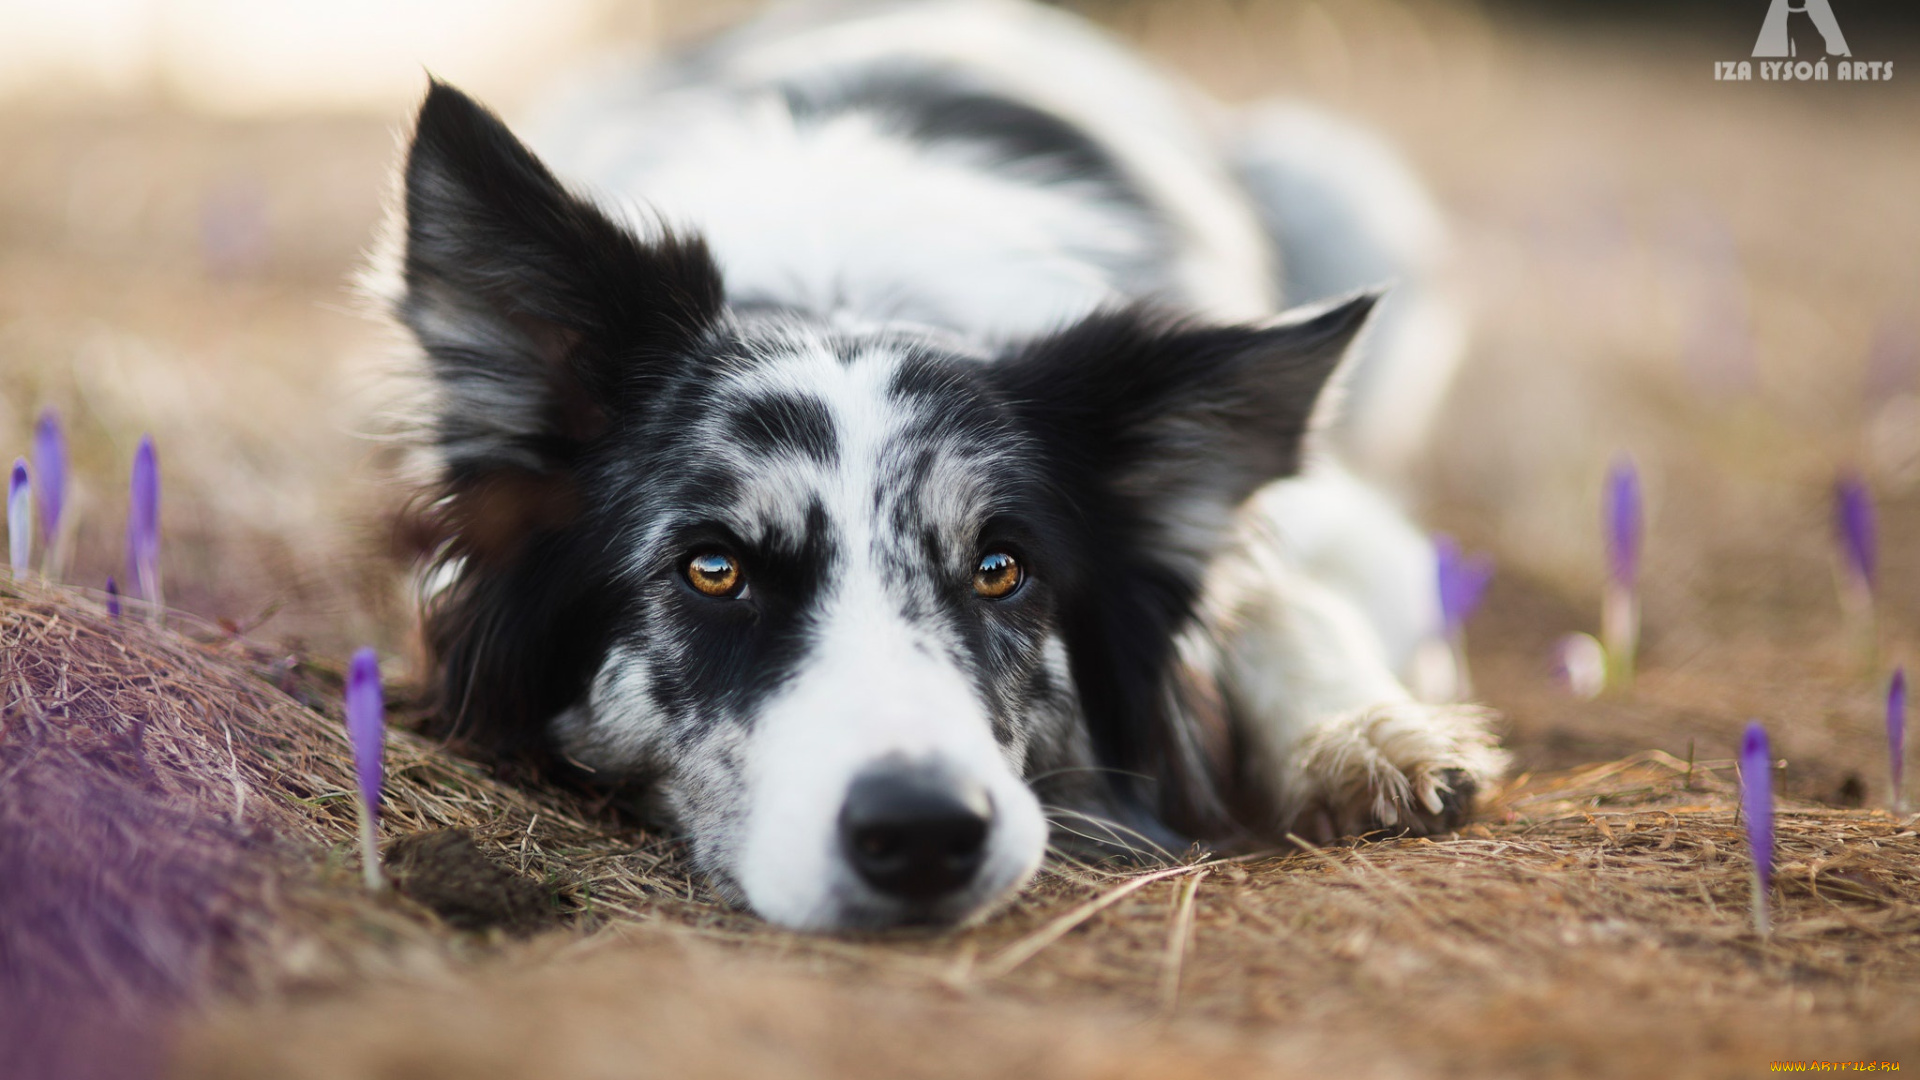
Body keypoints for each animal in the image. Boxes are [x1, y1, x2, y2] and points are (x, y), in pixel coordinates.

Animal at [374, 0, 1505, 926]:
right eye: (714, 569)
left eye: (1002, 568)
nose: (923, 834)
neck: (841, 283)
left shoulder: (1350, 528)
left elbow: (1284, 595)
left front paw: (1366, 737)